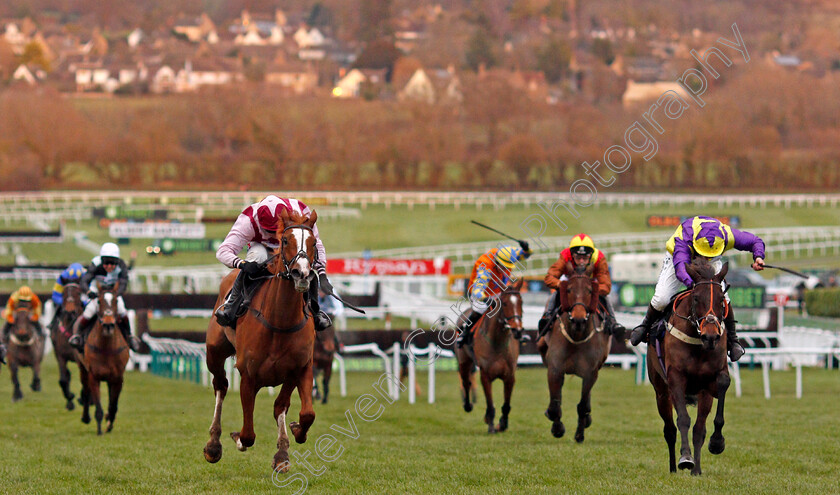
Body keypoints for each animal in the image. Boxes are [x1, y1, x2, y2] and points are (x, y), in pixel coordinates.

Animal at [79, 284, 130, 436]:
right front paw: (100, 430)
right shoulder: (93, 376)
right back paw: (85, 417)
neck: (107, 347)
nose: (108, 325)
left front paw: (109, 423)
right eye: (99, 301)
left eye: (116, 301)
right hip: (83, 369)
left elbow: (113, 405)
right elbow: (98, 407)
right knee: (86, 391)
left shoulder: (118, 377)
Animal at [205, 208, 320, 472]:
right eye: (285, 240)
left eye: (313, 243)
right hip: (214, 351)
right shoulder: (248, 375)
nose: (301, 274)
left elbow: (301, 412)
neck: (280, 322)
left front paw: (289, 443)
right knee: (221, 385)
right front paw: (237, 438)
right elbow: (248, 434)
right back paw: (213, 444)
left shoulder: (300, 368)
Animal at [456, 280, 520, 436]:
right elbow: (490, 403)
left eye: (521, 302)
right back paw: (468, 405)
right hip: (463, 361)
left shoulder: (510, 376)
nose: (517, 329)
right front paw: (491, 425)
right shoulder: (485, 375)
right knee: (466, 382)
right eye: (505, 304)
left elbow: (506, 404)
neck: (498, 342)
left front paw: (502, 424)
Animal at [540, 264, 608, 442]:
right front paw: (557, 428)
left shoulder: (591, 372)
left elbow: (583, 405)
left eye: (590, 290)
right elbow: (555, 404)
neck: (576, 336)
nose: (578, 319)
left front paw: (579, 433)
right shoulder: (555, 368)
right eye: (569, 289)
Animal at [648, 258, 728, 474]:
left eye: (721, 300)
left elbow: (722, 385)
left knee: (698, 428)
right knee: (670, 429)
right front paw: (685, 458)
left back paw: (696, 469)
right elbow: (683, 419)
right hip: (661, 392)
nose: (710, 337)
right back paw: (673, 468)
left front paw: (716, 443)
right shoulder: (676, 378)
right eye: (696, 298)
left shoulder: (709, 384)